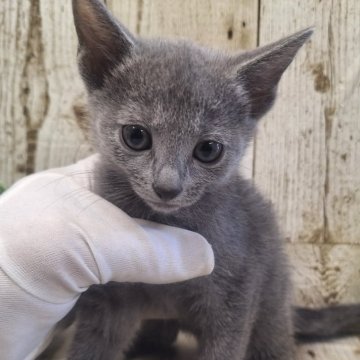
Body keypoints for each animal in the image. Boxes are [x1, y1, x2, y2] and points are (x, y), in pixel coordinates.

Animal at [40, 1, 360, 358]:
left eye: (208, 149)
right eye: (136, 136)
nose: (167, 186)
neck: (166, 223)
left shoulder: (237, 295)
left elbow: (225, 346)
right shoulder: (105, 298)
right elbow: (90, 346)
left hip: (272, 302)